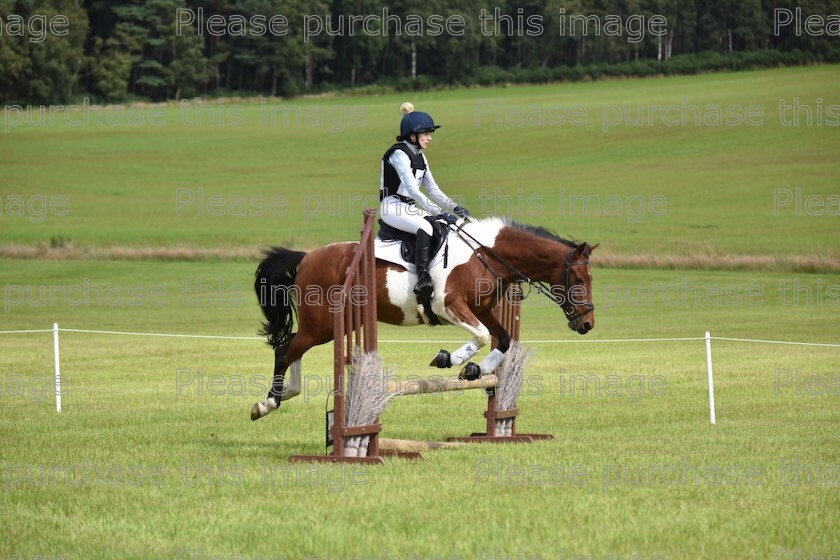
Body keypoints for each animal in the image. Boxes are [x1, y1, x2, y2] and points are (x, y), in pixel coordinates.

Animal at [249, 217, 596, 422]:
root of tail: (307, 256)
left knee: (292, 348)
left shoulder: (482, 310)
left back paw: (286, 393)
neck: (486, 256)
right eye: (579, 279)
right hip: (321, 324)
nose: (587, 324)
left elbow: (504, 340)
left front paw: (475, 370)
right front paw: (449, 359)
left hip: (338, 325)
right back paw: (267, 404)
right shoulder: (449, 305)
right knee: (285, 349)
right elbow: (482, 336)